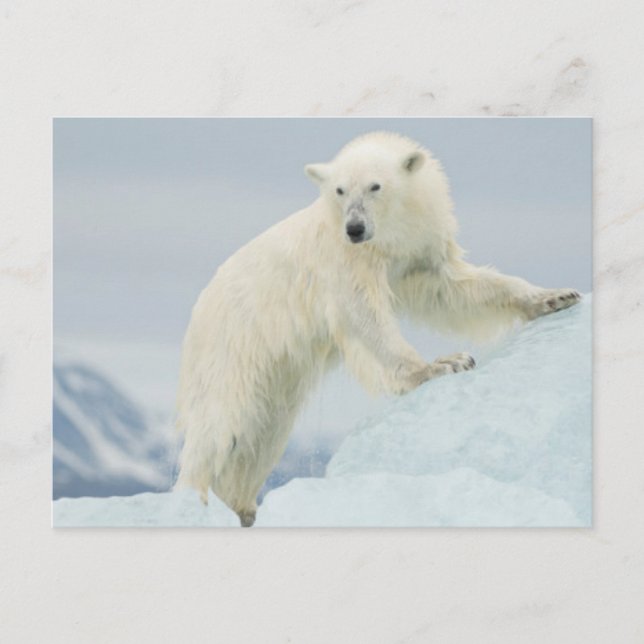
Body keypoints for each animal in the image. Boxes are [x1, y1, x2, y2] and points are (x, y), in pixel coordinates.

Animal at [175, 131, 581, 527]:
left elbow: (454, 288)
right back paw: (195, 503)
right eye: (340, 190)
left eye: (375, 186)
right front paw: (442, 364)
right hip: (234, 344)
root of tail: (198, 311)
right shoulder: (345, 258)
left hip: (277, 372)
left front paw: (554, 297)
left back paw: (243, 507)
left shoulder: (418, 249)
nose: (355, 228)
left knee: (263, 431)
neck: (388, 236)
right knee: (221, 424)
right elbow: (362, 314)